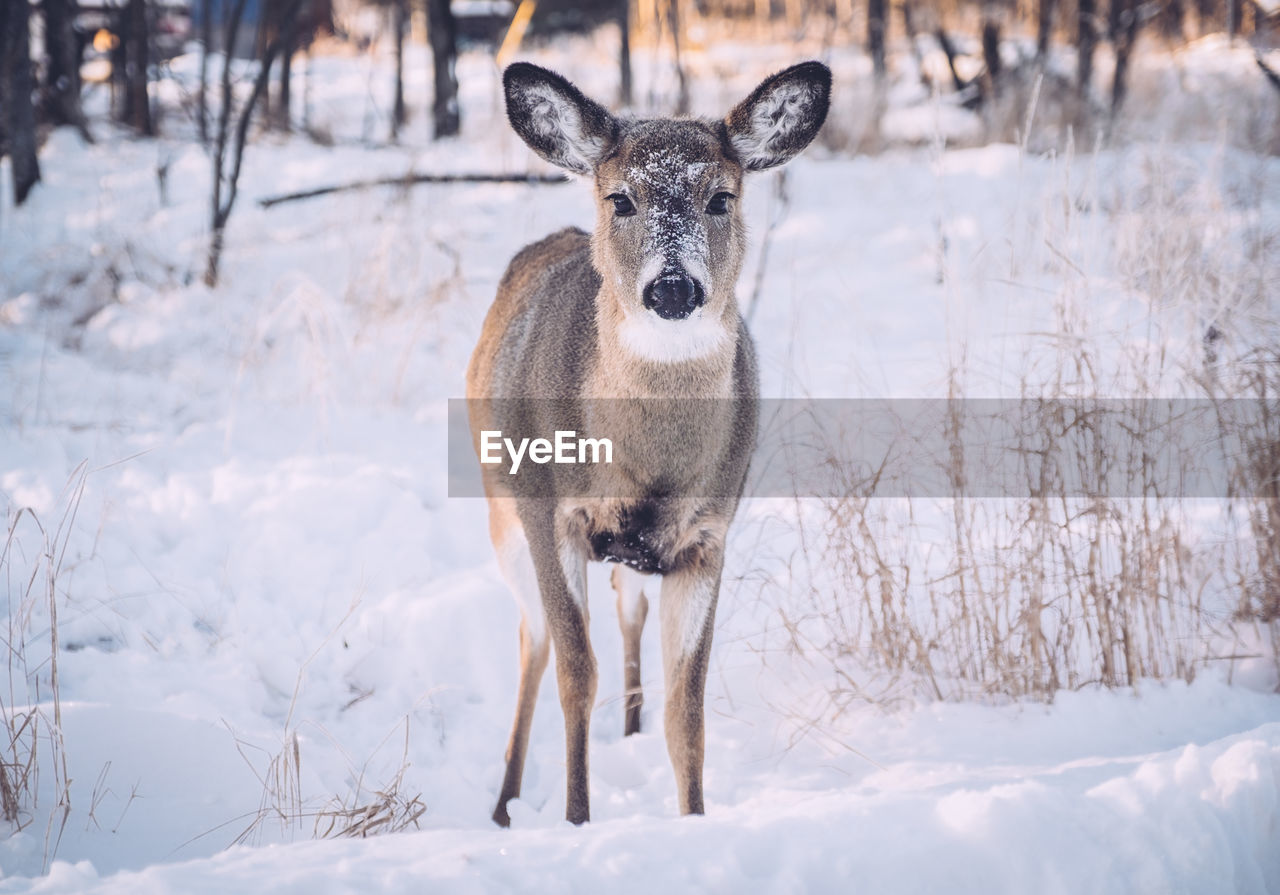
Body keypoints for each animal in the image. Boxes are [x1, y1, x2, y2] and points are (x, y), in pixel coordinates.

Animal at [468, 59, 829, 824]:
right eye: (621, 199)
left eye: (721, 196)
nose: (672, 287)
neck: (646, 469)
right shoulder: (548, 512)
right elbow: (577, 672)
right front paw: (577, 820)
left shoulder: (707, 535)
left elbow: (687, 709)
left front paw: (693, 820)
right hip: (498, 506)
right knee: (533, 640)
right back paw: (506, 803)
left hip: (633, 552)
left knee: (625, 606)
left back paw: (625, 732)